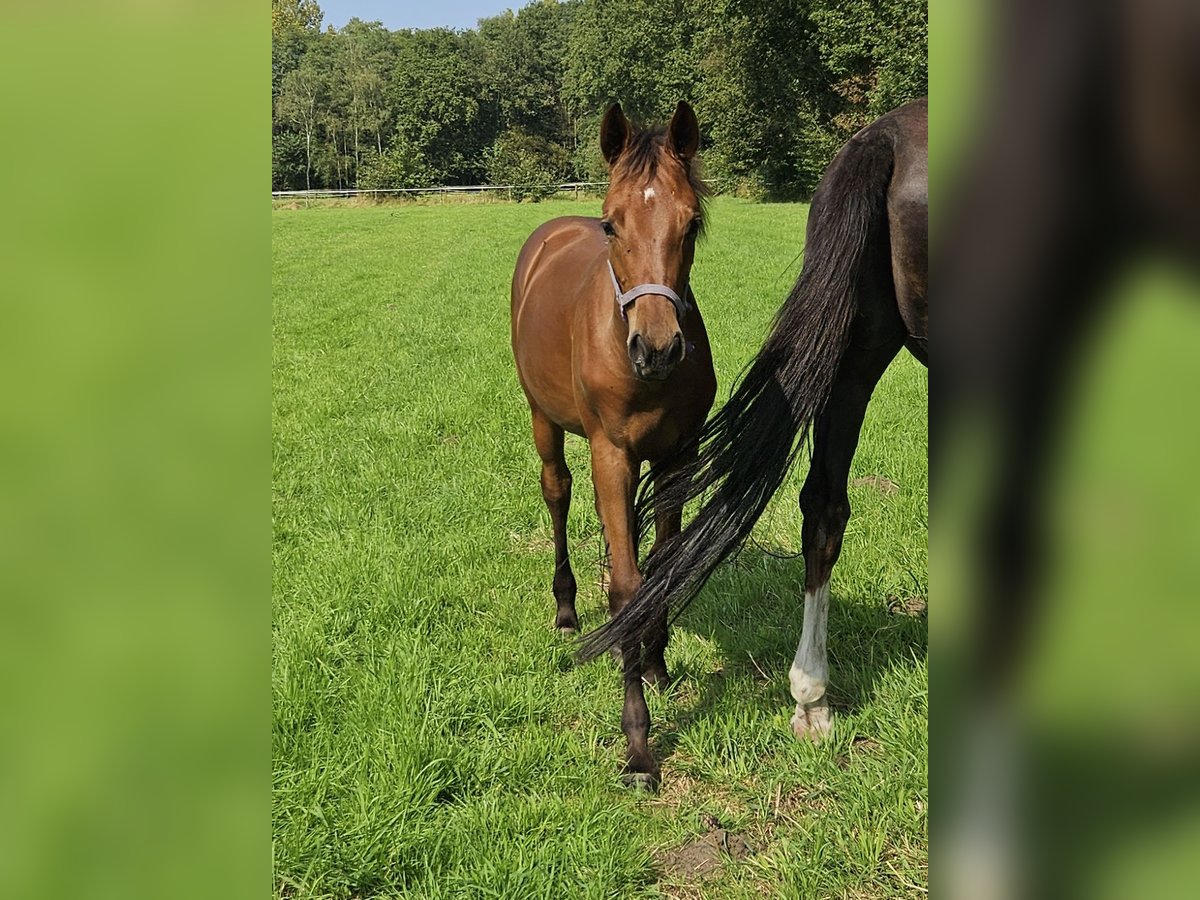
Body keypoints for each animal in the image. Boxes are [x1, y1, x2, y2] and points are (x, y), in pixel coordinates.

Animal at [511, 100, 715, 787]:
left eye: (692, 222)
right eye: (611, 222)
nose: (657, 348)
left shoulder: (677, 454)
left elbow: (662, 566)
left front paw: (656, 664)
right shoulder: (611, 451)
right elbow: (630, 583)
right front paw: (638, 745)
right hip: (544, 420)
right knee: (558, 494)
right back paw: (569, 609)